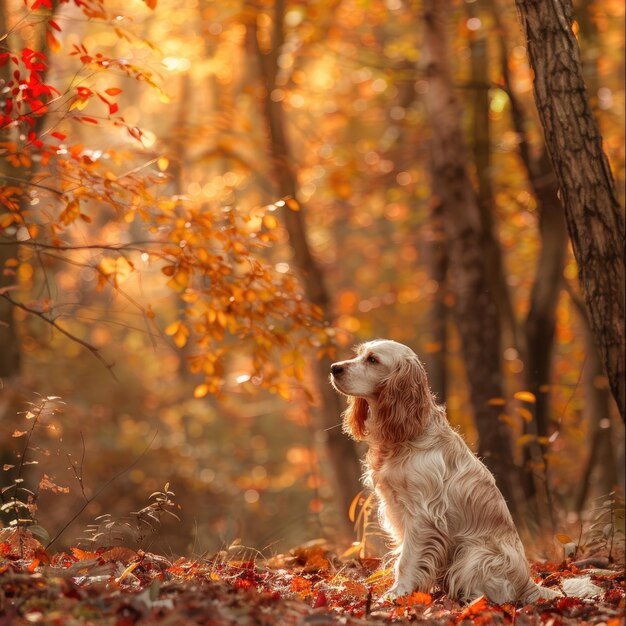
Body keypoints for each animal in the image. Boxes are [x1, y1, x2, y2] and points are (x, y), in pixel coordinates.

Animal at [330, 338, 596, 604]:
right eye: (360, 354)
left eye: (373, 360)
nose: (334, 368)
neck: (406, 436)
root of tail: (527, 582)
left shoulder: (423, 516)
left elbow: (406, 561)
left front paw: (397, 594)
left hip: (473, 554)